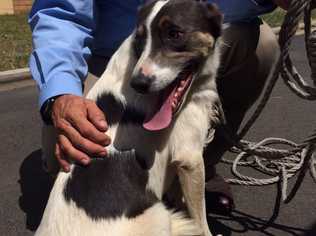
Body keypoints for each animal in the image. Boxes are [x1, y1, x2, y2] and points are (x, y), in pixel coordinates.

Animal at [36, 0, 222, 235]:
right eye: (140, 39)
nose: (138, 84)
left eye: (174, 34)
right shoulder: (190, 156)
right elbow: (201, 220)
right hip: (159, 216)